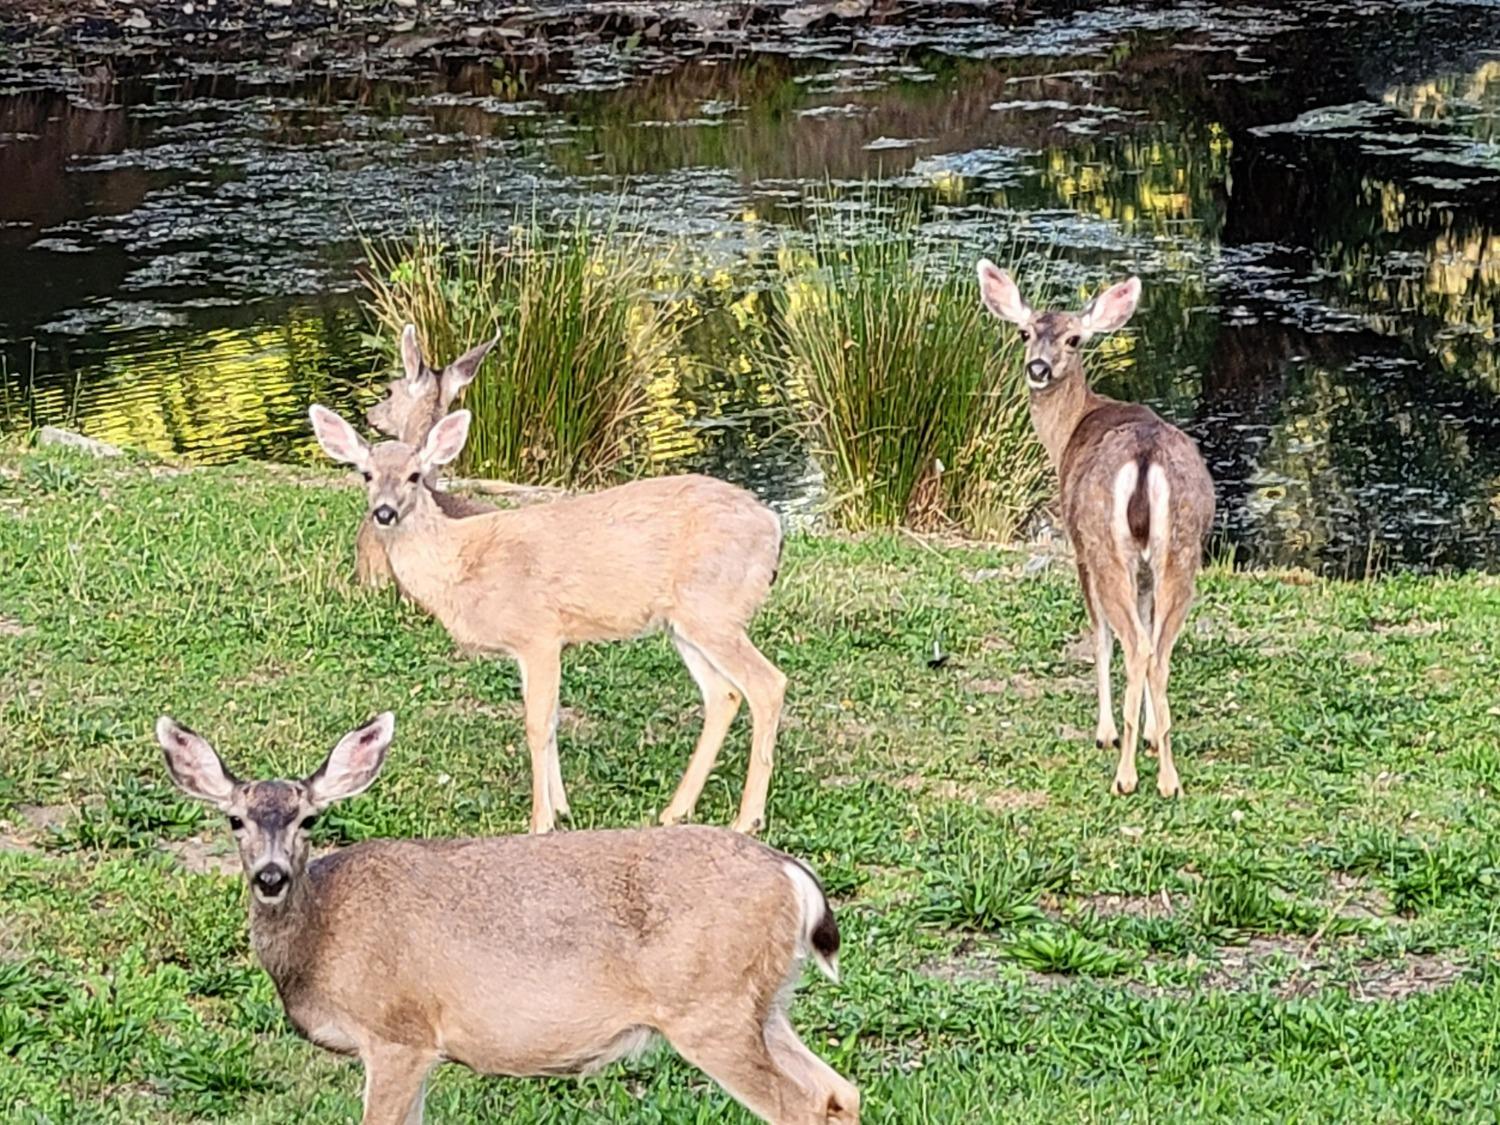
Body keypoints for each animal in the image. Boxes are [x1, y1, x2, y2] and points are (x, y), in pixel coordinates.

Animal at [155, 712, 858, 1125]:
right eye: (235, 820)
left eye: (308, 819)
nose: (270, 876)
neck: (324, 938)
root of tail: (790, 876)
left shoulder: (399, 1032)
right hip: (761, 1004)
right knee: (837, 1091)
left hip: (710, 1007)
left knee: (799, 1106)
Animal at [308, 403, 786, 836]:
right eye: (366, 474)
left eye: (413, 475)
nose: (384, 512)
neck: (462, 564)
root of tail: (773, 526)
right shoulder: (537, 646)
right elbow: (553, 722)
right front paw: (562, 809)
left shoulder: (537, 633)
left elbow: (537, 724)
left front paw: (540, 821)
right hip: (685, 622)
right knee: (724, 694)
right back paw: (675, 811)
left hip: (714, 606)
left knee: (768, 684)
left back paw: (747, 819)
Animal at [976, 262, 1215, 798]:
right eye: (1025, 333)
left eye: (1074, 339)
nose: (1037, 369)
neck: (1069, 429)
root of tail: (1145, 455)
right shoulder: (1144, 569)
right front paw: (1148, 732)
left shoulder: (1078, 546)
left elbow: (1100, 635)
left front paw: (1108, 732)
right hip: (1181, 549)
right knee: (1158, 648)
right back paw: (1168, 777)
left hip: (1105, 542)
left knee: (1132, 642)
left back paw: (1125, 775)